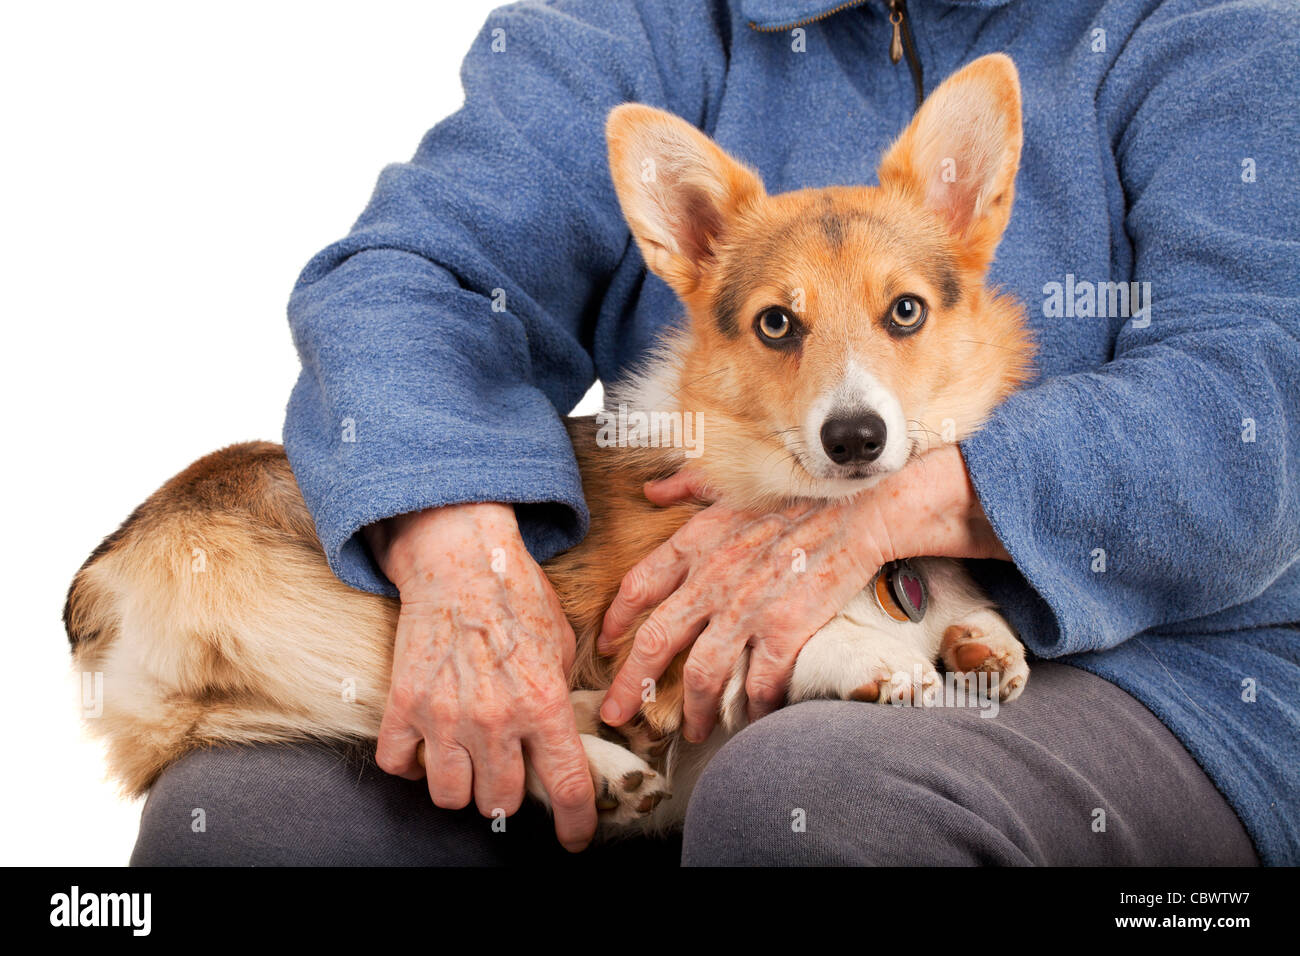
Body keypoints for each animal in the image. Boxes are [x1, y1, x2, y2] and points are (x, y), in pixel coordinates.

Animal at [63, 52, 1034, 832]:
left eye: (904, 311)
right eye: (775, 324)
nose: (855, 439)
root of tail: (110, 567)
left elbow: (969, 622)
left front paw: (980, 639)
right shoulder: (670, 650)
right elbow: (800, 639)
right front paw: (876, 658)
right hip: (383, 622)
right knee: (427, 734)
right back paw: (601, 770)